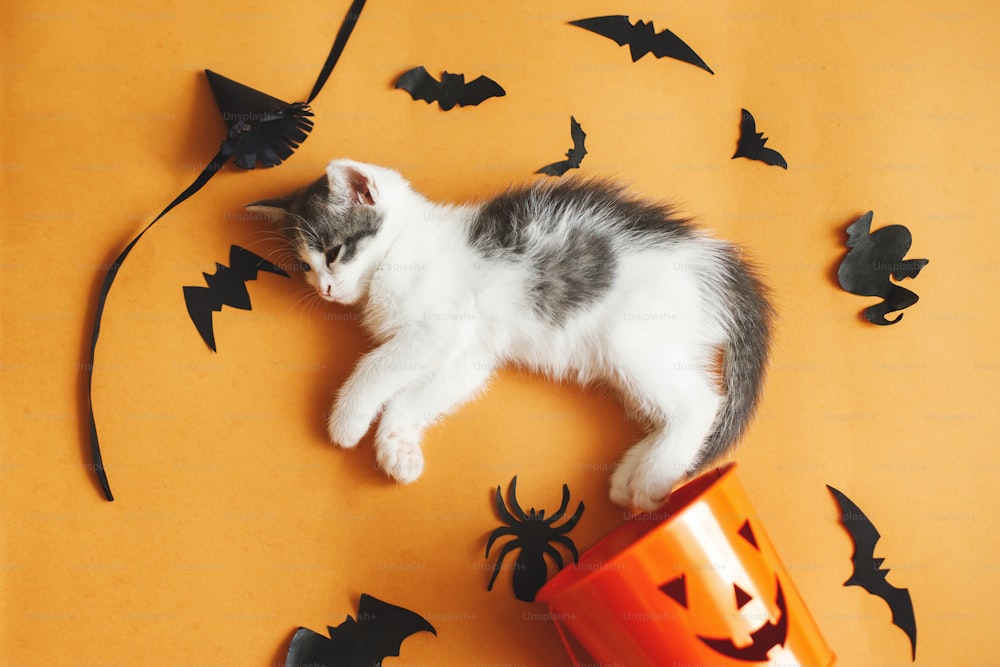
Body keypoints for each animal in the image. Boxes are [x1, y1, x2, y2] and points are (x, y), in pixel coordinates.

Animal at [248, 158, 772, 512]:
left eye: (334, 252)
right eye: (304, 266)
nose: (324, 289)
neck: (401, 250)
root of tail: (713, 262)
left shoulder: (438, 327)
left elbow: (375, 366)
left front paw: (348, 420)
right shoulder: (469, 353)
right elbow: (425, 391)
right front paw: (398, 445)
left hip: (631, 337)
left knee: (701, 402)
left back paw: (653, 476)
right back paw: (636, 472)